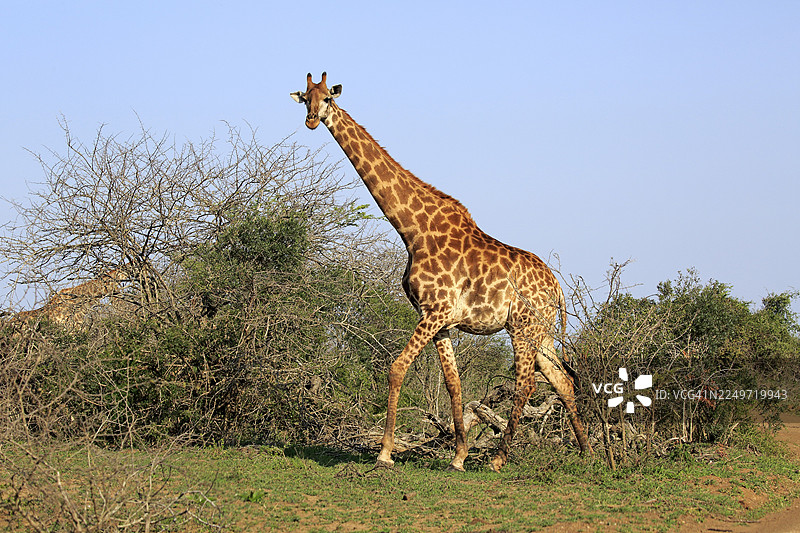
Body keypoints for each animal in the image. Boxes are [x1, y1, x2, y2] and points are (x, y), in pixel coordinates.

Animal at [291, 72, 592, 471]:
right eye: (305, 98)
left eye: (327, 98)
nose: (311, 120)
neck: (412, 230)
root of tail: (557, 288)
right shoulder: (441, 320)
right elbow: (454, 384)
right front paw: (459, 456)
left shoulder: (434, 312)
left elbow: (397, 368)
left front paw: (384, 454)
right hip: (540, 332)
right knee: (562, 381)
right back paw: (588, 452)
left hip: (521, 328)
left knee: (527, 383)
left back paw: (499, 459)